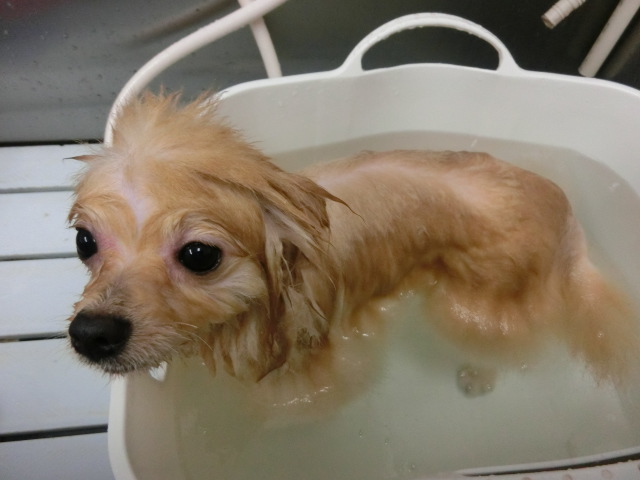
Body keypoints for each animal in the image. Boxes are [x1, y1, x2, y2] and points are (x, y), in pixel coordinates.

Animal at [68, 92, 638, 407]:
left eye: (199, 256)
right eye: (84, 242)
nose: (92, 333)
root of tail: (566, 216)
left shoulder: (316, 370)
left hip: (471, 305)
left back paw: (478, 375)